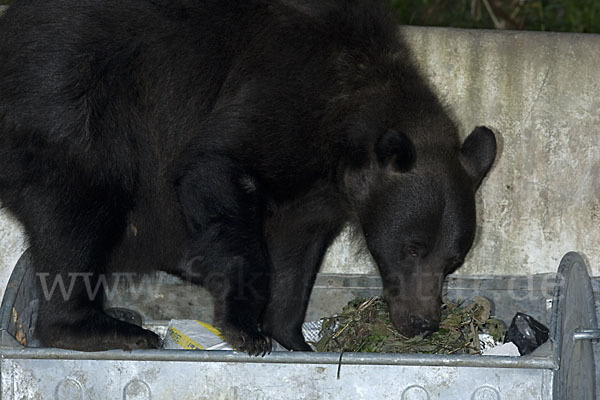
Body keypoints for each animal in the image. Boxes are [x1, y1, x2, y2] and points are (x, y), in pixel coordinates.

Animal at [0, 0, 494, 356]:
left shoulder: (321, 190)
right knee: (79, 208)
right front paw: (246, 330)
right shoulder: (279, 97)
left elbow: (299, 250)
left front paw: (292, 337)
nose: (423, 323)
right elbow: (218, 168)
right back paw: (107, 328)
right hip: (70, 104)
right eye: (412, 248)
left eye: (453, 260)